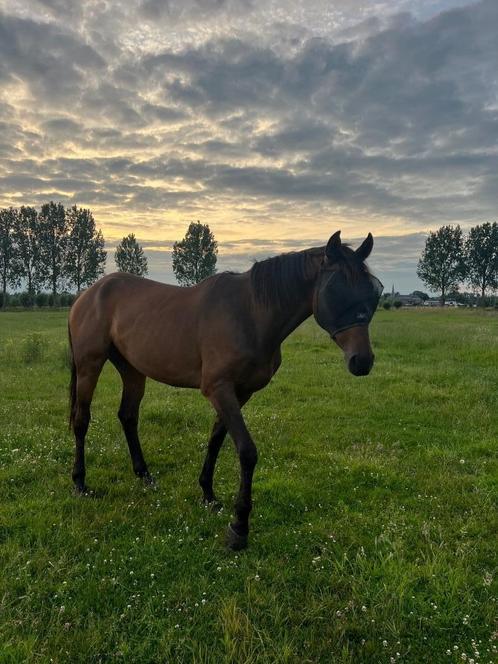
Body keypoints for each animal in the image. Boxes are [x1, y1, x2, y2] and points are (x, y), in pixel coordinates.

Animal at [68, 232, 384, 548]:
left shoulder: (240, 393)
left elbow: (217, 439)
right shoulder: (219, 389)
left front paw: (208, 494)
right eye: (337, 289)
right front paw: (239, 527)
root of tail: (86, 295)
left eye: (374, 291)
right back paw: (80, 482)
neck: (251, 315)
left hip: (132, 370)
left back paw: (144, 475)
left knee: (128, 416)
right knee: (82, 420)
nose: (362, 361)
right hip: (89, 365)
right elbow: (246, 451)